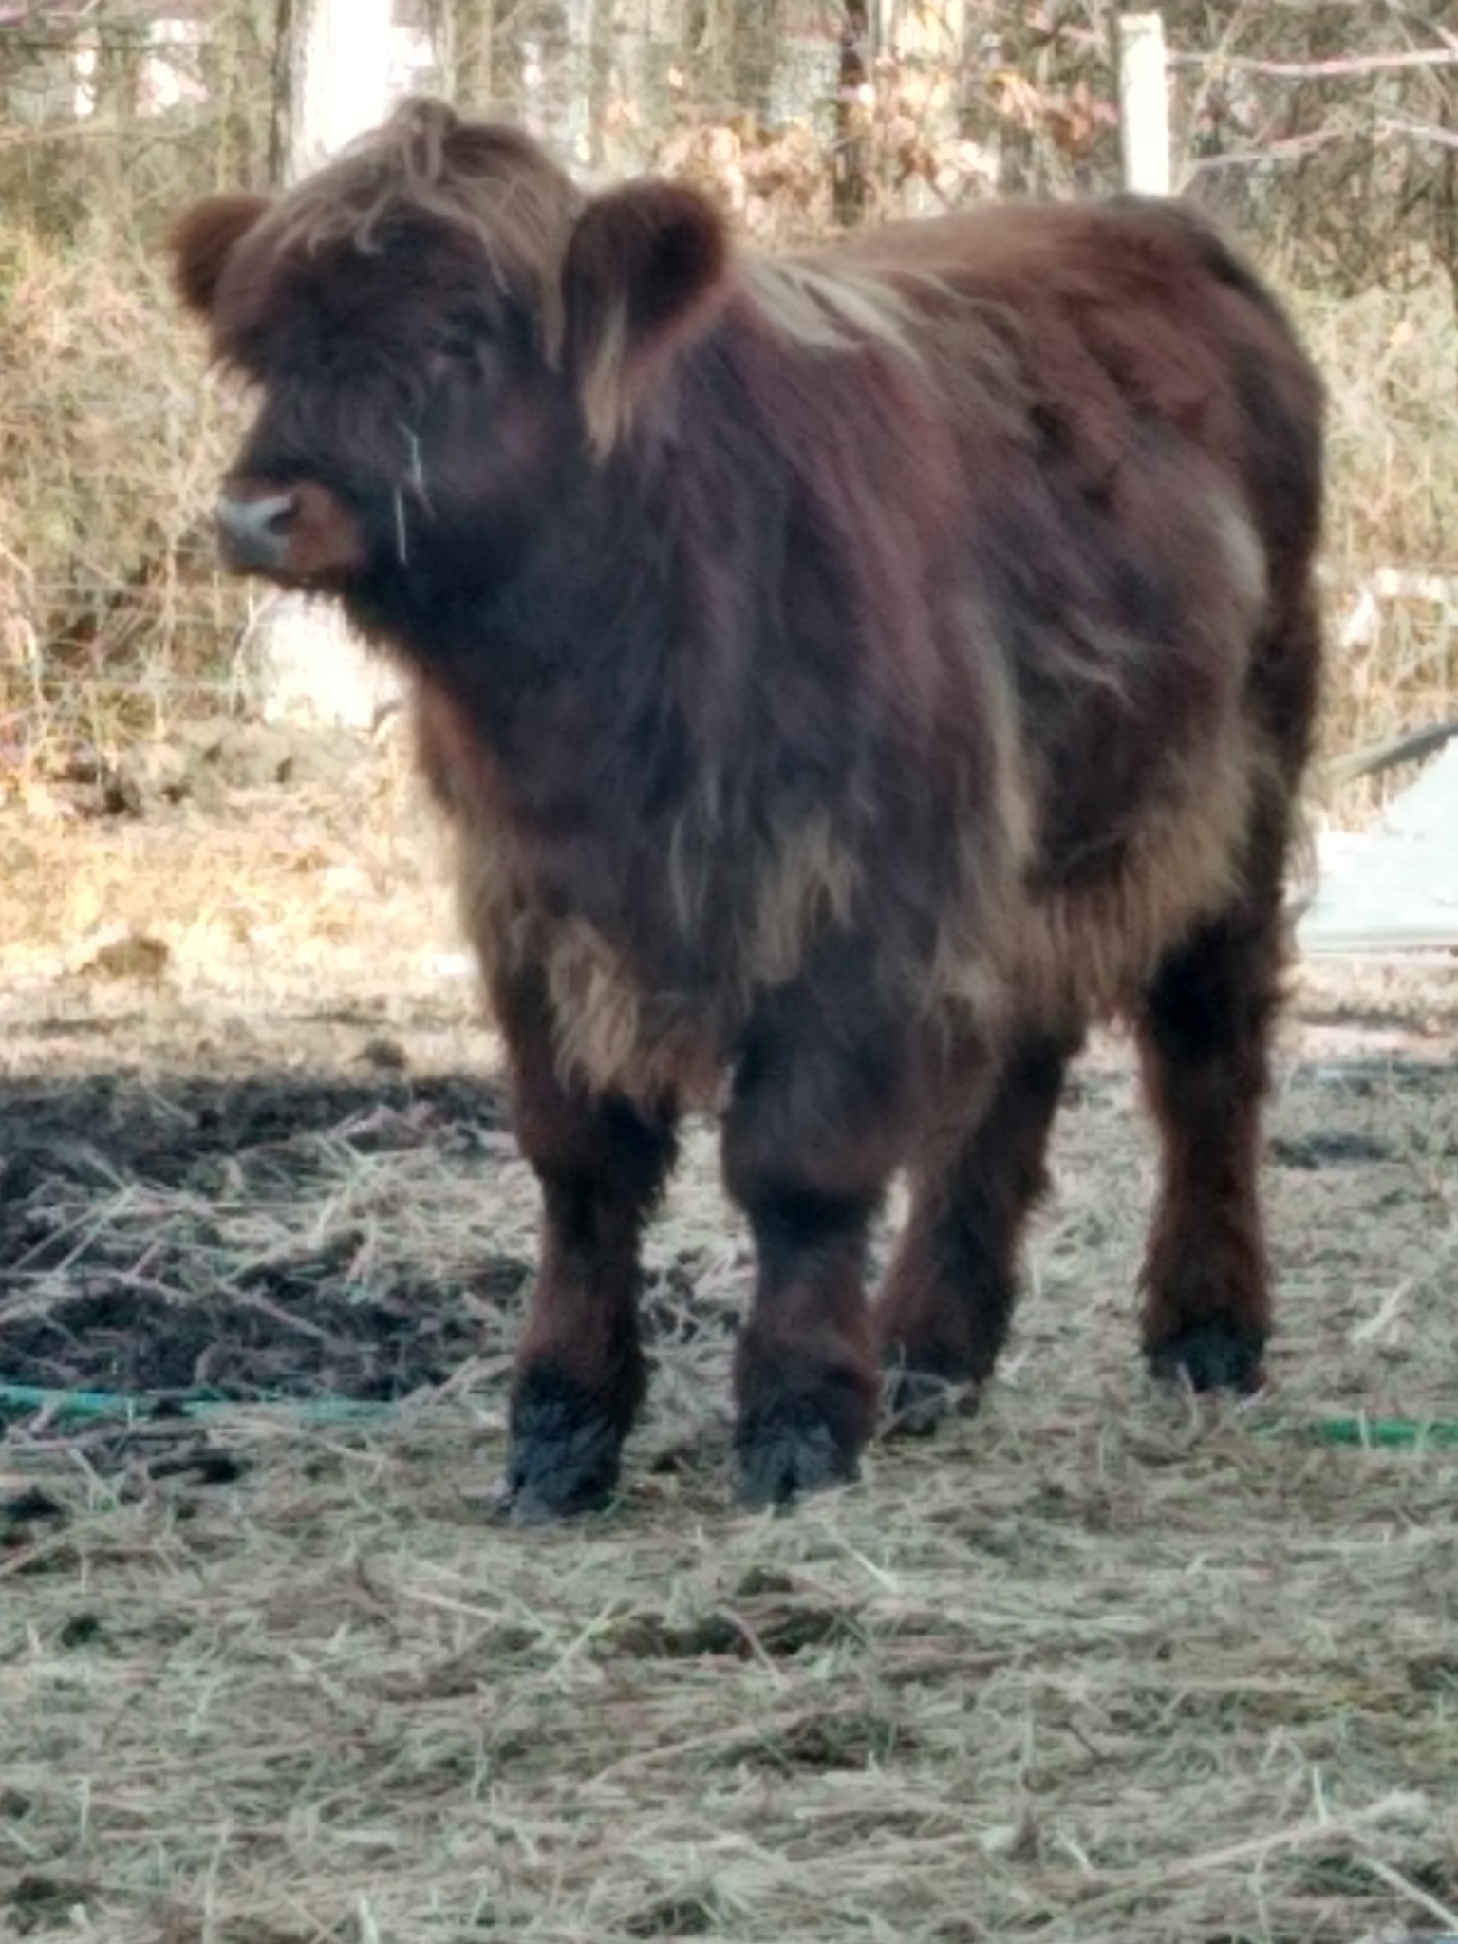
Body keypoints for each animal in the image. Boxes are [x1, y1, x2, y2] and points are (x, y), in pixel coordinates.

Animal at [165, 94, 1329, 1516]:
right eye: (267, 344)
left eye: (459, 334)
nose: (258, 510)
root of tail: (1158, 229)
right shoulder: (531, 911)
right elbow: (584, 1171)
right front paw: (560, 1431)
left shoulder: (861, 900)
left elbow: (799, 1167)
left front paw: (796, 1420)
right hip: (1033, 843)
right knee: (1009, 1072)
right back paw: (932, 1348)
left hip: (1237, 784)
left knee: (1209, 1051)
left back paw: (1207, 1331)